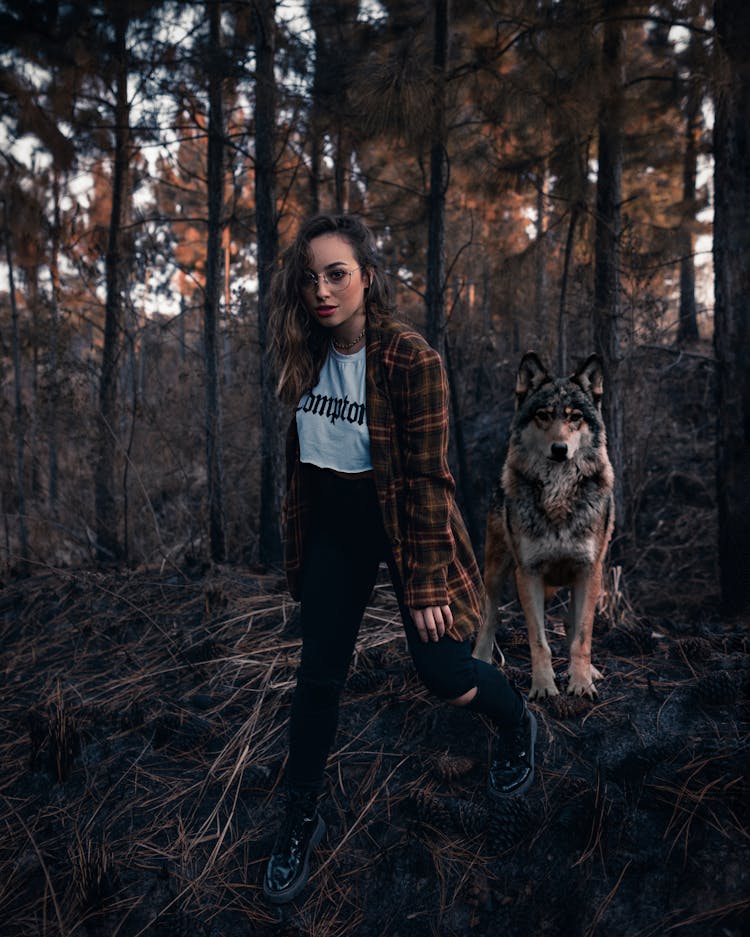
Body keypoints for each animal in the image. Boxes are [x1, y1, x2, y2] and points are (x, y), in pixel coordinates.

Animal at [476, 352, 616, 696]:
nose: (559, 449)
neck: (558, 494)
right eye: (543, 415)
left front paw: (581, 682)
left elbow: (582, 636)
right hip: (495, 571)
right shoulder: (528, 573)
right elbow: (538, 641)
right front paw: (543, 686)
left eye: (574, 417)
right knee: (490, 617)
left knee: (571, 624)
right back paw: (481, 658)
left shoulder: (588, 570)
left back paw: (590, 672)